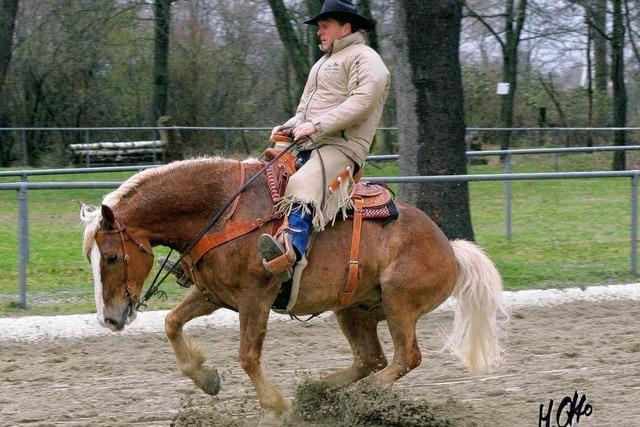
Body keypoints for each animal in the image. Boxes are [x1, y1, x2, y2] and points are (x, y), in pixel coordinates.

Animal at [80, 156, 508, 424]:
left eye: (112, 257)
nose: (110, 319)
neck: (223, 213)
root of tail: (450, 248)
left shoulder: (255, 297)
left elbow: (248, 356)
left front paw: (274, 408)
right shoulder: (214, 295)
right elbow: (171, 322)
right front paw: (206, 378)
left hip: (399, 302)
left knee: (406, 358)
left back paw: (361, 398)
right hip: (352, 309)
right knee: (372, 359)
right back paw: (320, 394)